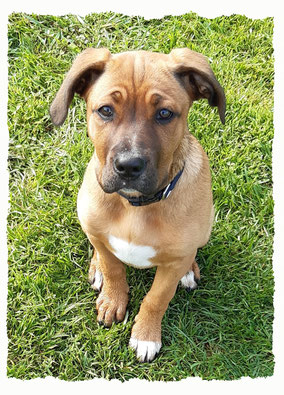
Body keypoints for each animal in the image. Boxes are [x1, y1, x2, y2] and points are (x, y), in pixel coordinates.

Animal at [50, 48, 225, 364]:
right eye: (106, 110)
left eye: (164, 114)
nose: (128, 166)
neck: (134, 205)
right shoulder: (98, 231)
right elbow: (113, 268)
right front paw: (112, 299)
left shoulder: (171, 266)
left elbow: (156, 298)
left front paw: (145, 335)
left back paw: (189, 270)